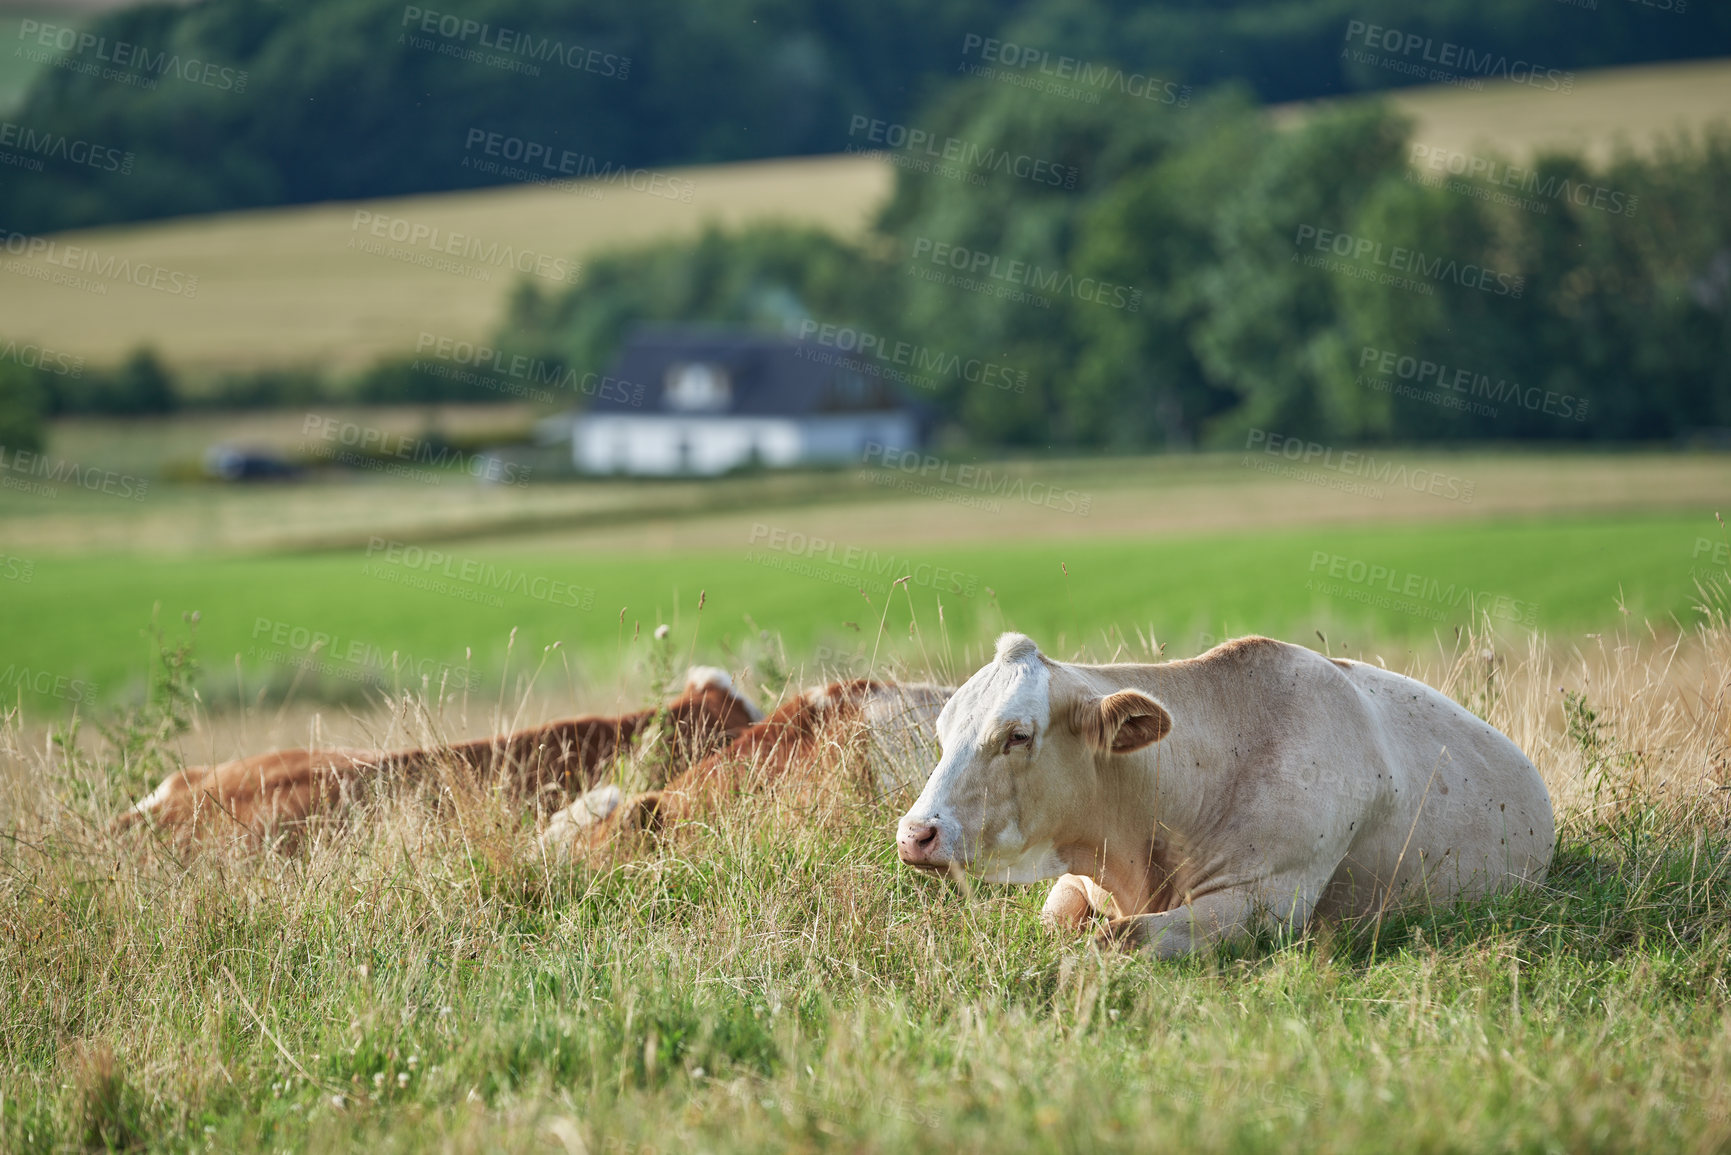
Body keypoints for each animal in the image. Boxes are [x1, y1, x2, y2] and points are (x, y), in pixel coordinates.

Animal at [893, 633, 1557, 955]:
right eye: (942, 729)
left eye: (1018, 735)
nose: (915, 834)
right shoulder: (1074, 885)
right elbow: (1061, 928)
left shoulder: (1264, 901)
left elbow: (1114, 939)